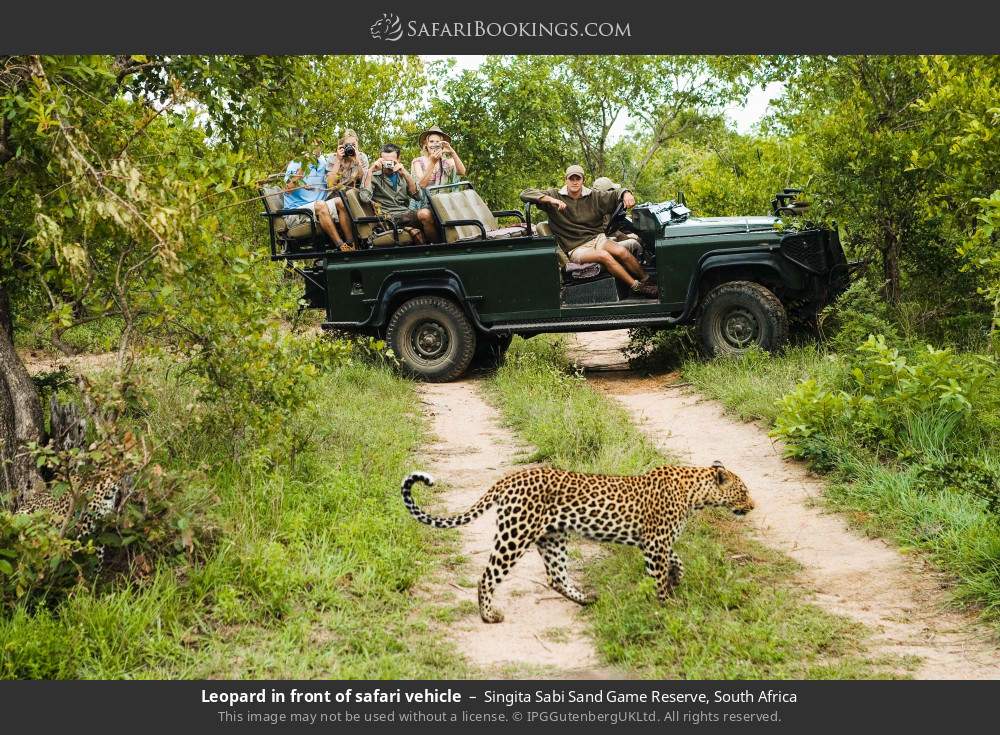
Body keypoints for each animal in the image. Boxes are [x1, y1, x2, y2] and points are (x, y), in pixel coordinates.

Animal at [401, 461, 755, 623]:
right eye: (744, 491)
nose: (753, 506)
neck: (695, 494)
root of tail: (508, 479)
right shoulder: (655, 543)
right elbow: (659, 576)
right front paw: (667, 604)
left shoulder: (655, 543)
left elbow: (676, 559)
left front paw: (677, 577)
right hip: (515, 534)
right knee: (487, 576)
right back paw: (489, 616)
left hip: (553, 537)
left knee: (556, 577)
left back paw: (586, 599)